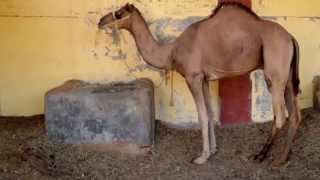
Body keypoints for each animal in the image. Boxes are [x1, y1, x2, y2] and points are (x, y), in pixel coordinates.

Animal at [97, 2, 300, 166]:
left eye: (119, 13)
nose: (100, 21)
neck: (171, 52)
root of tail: (291, 37)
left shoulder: (192, 77)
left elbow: (201, 116)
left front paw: (202, 157)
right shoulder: (204, 78)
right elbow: (209, 113)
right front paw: (213, 150)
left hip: (274, 72)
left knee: (281, 115)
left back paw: (263, 156)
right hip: (288, 76)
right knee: (295, 115)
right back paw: (282, 158)